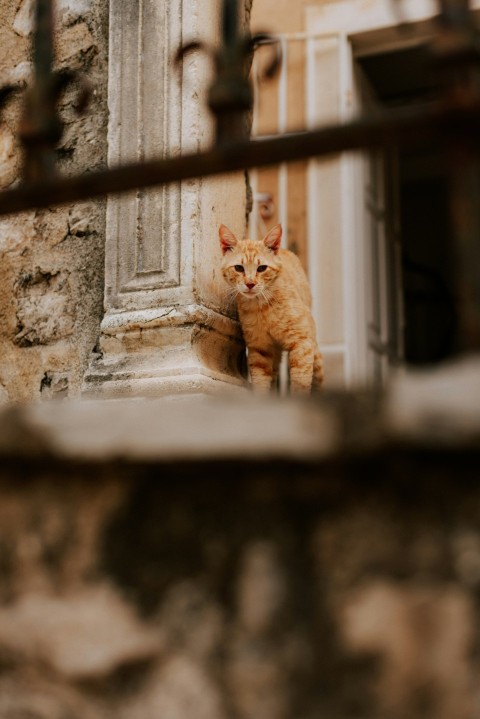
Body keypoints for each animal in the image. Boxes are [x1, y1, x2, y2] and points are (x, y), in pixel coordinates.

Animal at [219, 225, 324, 394]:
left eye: (262, 268)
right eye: (238, 268)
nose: (250, 284)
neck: (262, 307)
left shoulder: (302, 342)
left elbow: (300, 381)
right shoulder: (259, 349)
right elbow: (261, 382)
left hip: (314, 350)